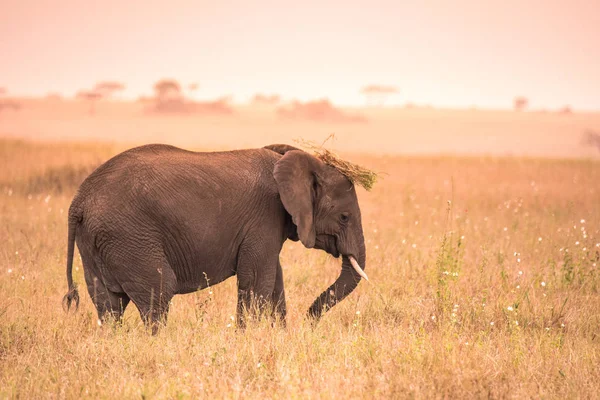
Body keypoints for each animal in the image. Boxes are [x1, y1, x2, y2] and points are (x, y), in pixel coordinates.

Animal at [63, 143, 368, 332]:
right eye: (344, 217)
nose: (309, 321)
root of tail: (79, 201)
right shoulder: (264, 217)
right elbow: (257, 280)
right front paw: (248, 339)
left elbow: (274, 281)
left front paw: (277, 336)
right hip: (128, 236)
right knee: (159, 292)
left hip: (97, 240)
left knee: (108, 303)